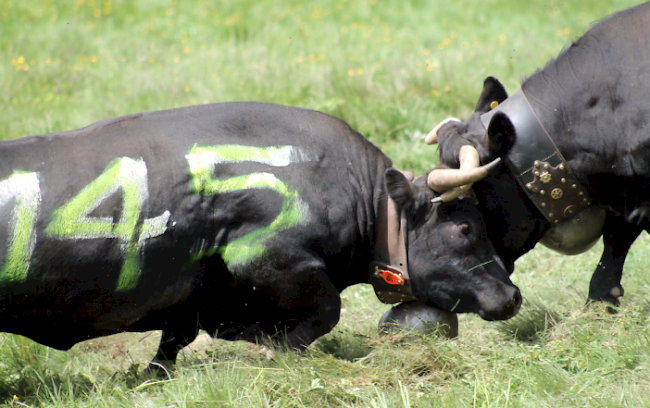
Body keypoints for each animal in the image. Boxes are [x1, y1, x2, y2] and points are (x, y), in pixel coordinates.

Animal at [0, 101, 520, 370]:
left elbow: (176, 339)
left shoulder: (197, 296)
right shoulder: (265, 257)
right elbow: (327, 310)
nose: (513, 295)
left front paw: (148, 376)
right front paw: (278, 348)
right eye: (465, 228)